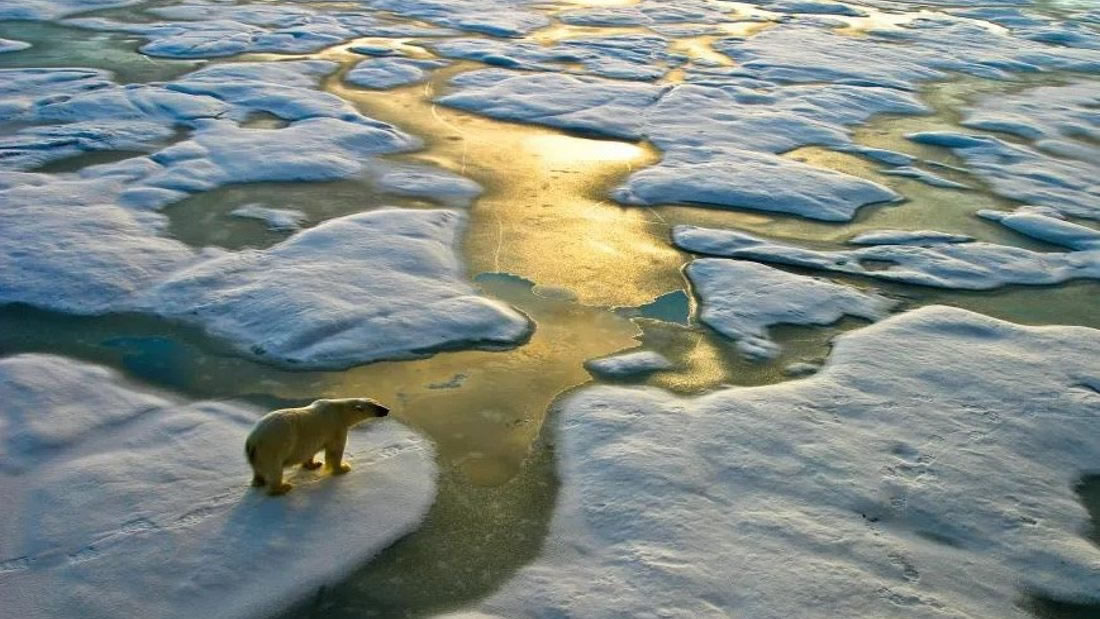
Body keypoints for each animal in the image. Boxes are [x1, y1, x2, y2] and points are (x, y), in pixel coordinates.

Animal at [246, 400, 391, 496]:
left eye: (377, 401)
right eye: (376, 406)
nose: (387, 409)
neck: (340, 411)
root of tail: (252, 440)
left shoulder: (313, 439)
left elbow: (310, 452)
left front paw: (314, 464)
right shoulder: (336, 427)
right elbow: (335, 450)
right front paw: (343, 467)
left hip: (258, 455)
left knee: (258, 470)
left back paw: (259, 481)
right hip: (274, 446)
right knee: (275, 470)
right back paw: (283, 487)